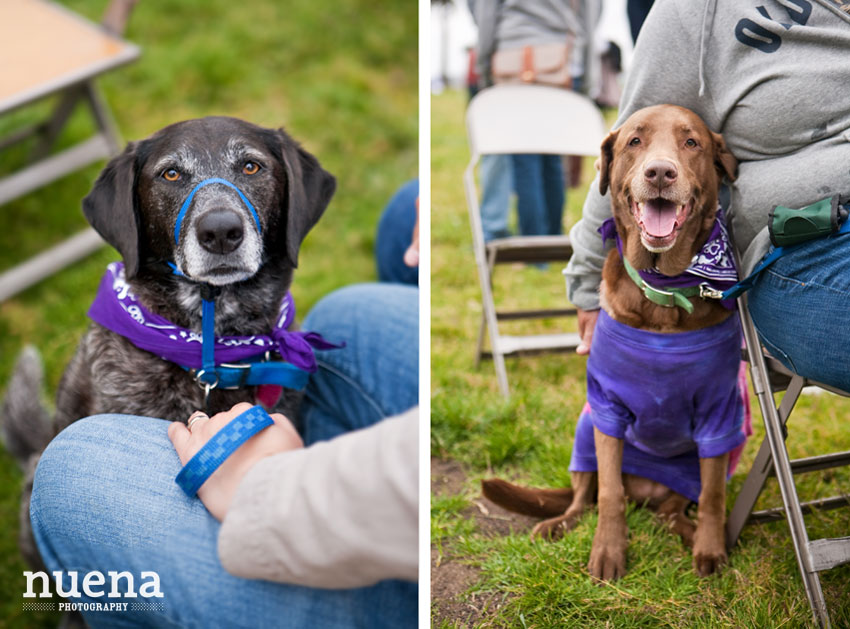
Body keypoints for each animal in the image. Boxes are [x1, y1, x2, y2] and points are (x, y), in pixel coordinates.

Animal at [484, 103, 744, 580]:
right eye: (634, 141)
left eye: (691, 142)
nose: (660, 172)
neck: (664, 294)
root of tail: (646, 491)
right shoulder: (606, 410)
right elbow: (607, 494)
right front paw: (608, 551)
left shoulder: (719, 416)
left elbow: (714, 495)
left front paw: (711, 549)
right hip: (584, 433)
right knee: (584, 498)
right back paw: (558, 524)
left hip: (683, 472)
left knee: (673, 510)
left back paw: (686, 531)